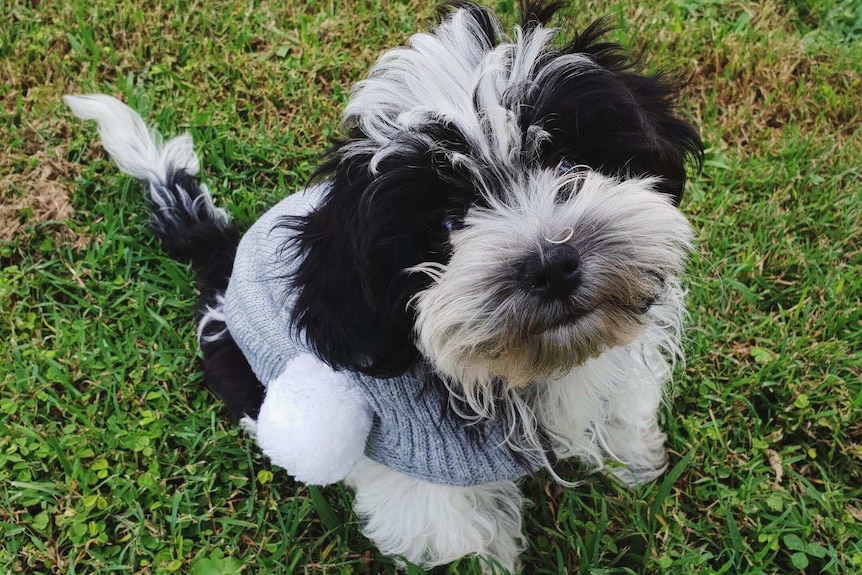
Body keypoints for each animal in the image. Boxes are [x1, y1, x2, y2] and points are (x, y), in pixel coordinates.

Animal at [66, 2, 704, 572]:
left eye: (565, 162)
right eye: (446, 226)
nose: (551, 264)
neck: (521, 372)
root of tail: (223, 255)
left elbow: (619, 409)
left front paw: (636, 464)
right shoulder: (422, 482)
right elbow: (456, 535)